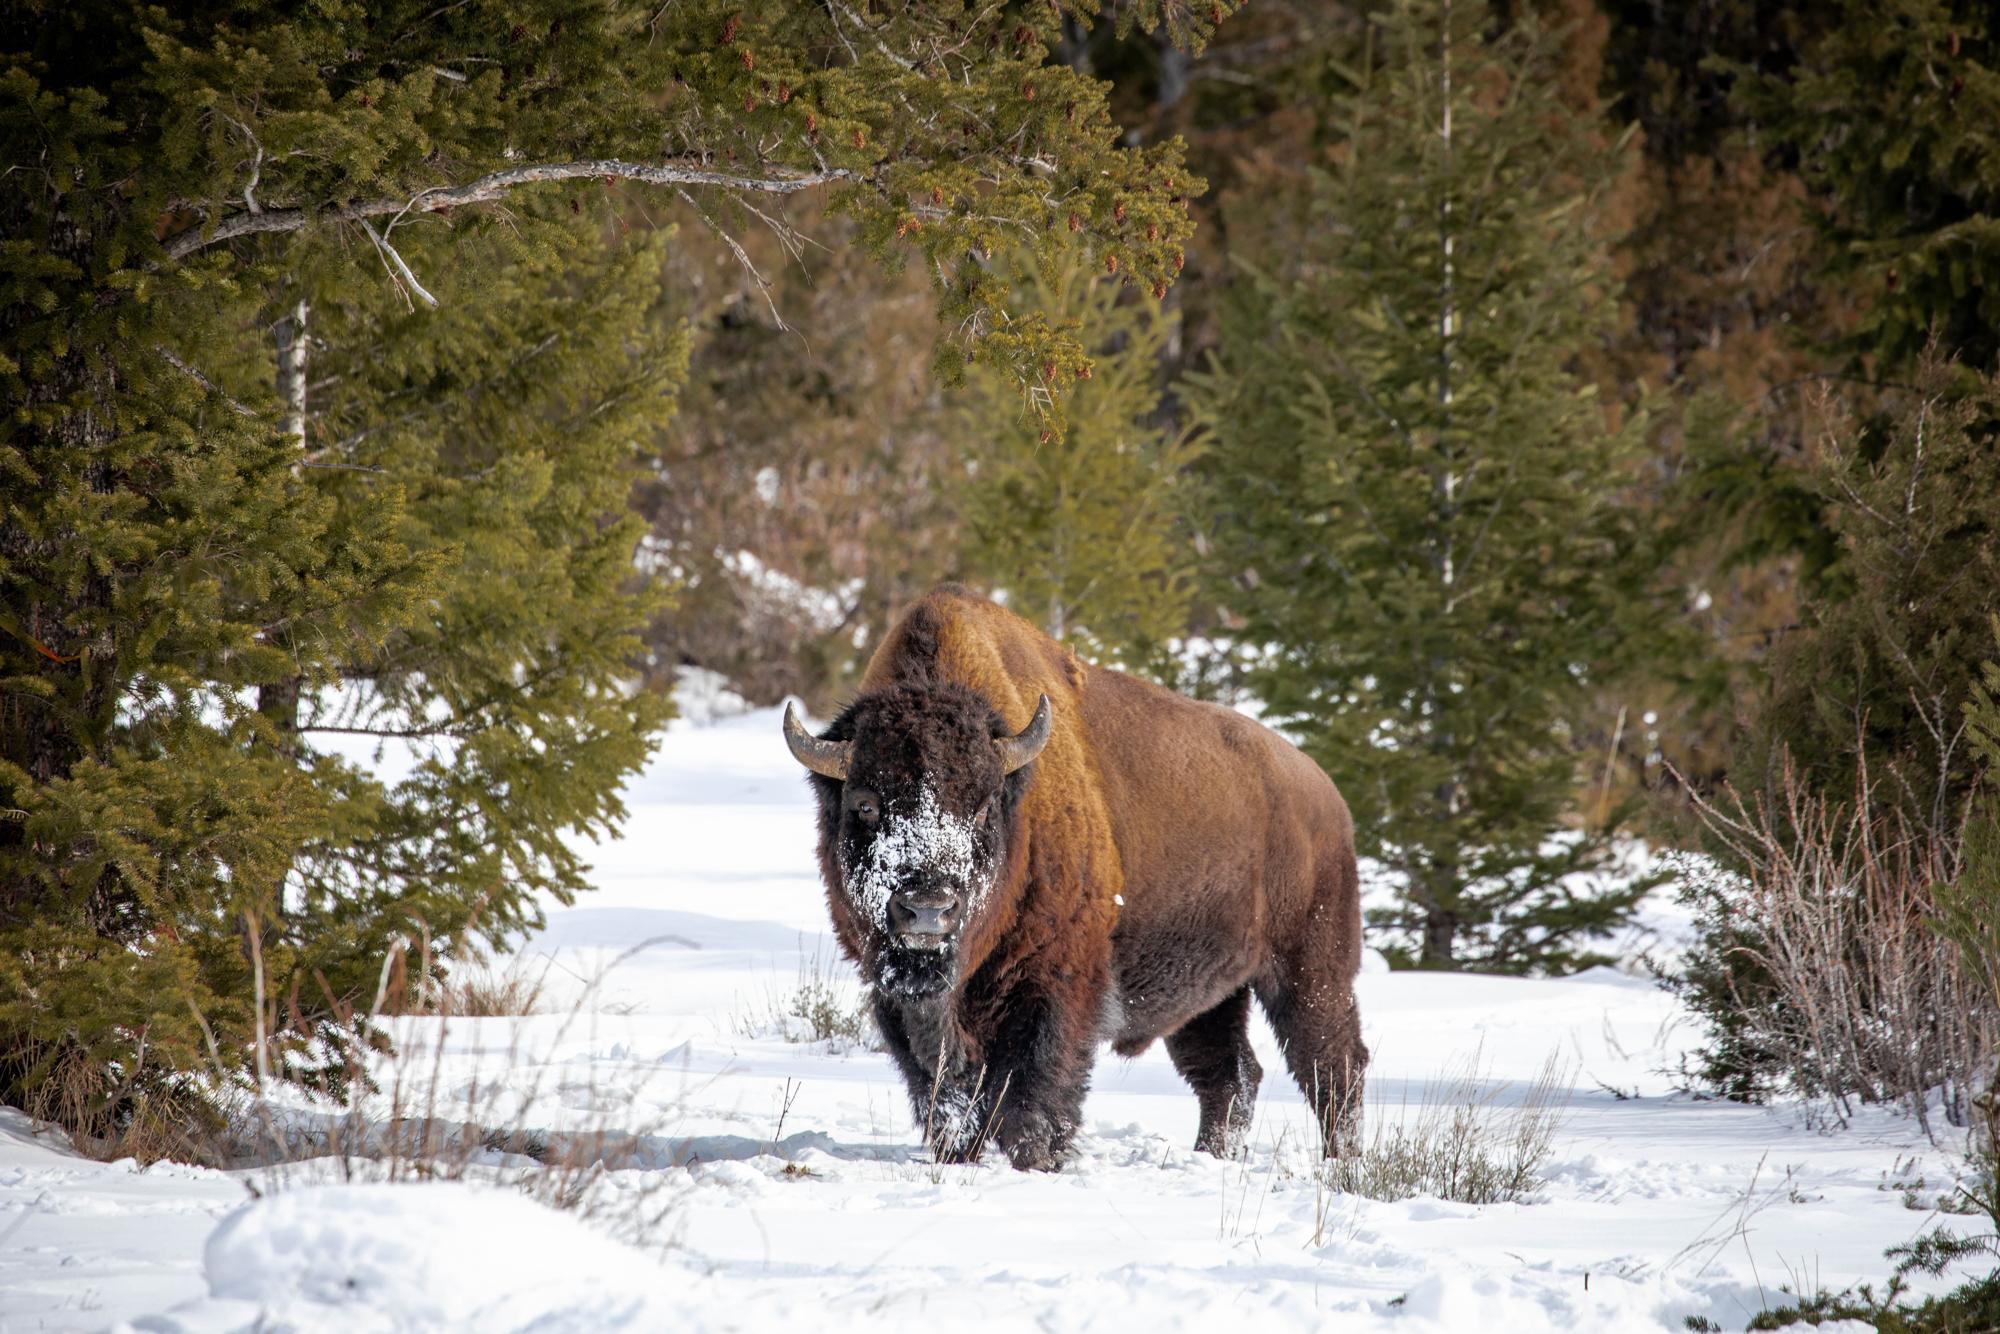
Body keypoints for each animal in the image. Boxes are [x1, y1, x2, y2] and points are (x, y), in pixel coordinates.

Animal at [783, 584, 1367, 1170]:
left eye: (983, 805)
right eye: (864, 804)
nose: (929, 907)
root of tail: (1325, 793)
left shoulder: (1055, 986)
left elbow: (1033, 1093)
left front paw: (1037, 1161)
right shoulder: (899, 1000)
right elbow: (943, 1090)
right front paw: (957, 1157)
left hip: (1310, 970)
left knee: (1333, 1065)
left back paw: (1342, 1167)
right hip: (1214, 995)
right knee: (1230, 1074)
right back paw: (1212, 1156)